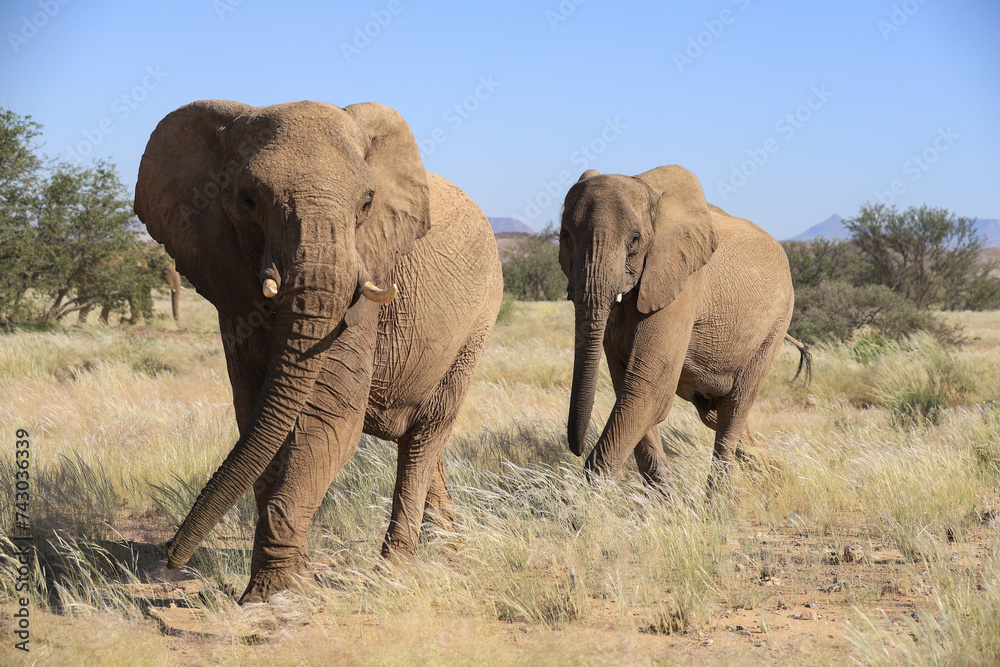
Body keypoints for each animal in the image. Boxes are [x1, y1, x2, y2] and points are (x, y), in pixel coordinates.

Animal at [133, 100, 504, 604]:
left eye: (366, 203)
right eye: (249, 200)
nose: (170, 556)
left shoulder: (364, 288)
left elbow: (329, 419)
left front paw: (273, 596)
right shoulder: (232, 291)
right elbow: (258, 419)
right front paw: (290, 583)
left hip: (477, 324)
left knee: (426, 434)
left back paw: (394, 574)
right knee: (422, 439)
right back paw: (448, 548)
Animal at [560, 166, 808, 500]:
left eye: (635, 241)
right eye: (565, 236)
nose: (575, 447)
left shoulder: (682, 282)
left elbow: (648, 390)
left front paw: (583, 506)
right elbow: (630, 390)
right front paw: (667, 504)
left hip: (775, 325)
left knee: (734, 409)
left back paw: (721, 503)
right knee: (714, 413)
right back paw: (776, 477)